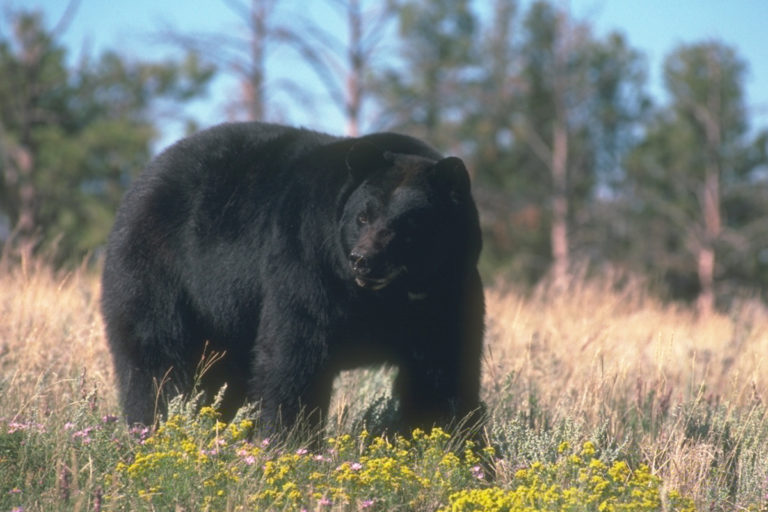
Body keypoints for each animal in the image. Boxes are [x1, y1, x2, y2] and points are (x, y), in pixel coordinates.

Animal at [100, 121, 484, 435]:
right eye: (363, 216)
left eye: (409, 225)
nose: (363, 260)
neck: (386, 297)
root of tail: (146, 176)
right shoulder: (307, 261)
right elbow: (295, 350)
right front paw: (289, 439)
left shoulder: (448, 291)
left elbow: (442, 368)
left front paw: (449, 441)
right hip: (161, 272)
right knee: (156, 355)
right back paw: (158, 426)